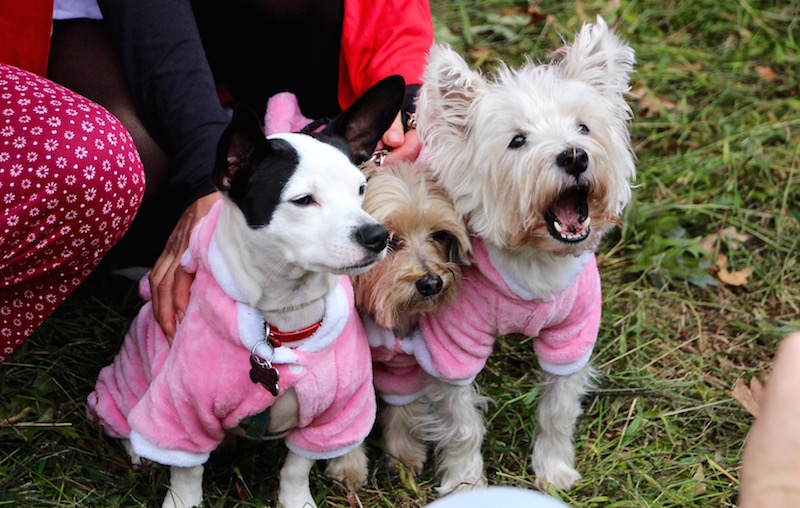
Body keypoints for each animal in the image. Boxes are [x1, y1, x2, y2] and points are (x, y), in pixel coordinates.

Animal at [89, 75, 406, 508]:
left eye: (360, 189)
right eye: (303, 200)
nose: (377, 235)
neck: (282, 326)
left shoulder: (332, 416)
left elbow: (297, 466)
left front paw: (296, 500)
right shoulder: (180, 412)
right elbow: (186, 472)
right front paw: (182, 502)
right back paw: (138, 449)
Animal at [384, 17, 636, 490]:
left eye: (583, 128)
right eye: (517, 141)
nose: (574, 156)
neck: (533, 261)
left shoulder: (572, 335)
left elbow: (557, 411)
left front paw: (553, 471)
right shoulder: (450, 347)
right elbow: (462, 425)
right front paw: (464, 483)